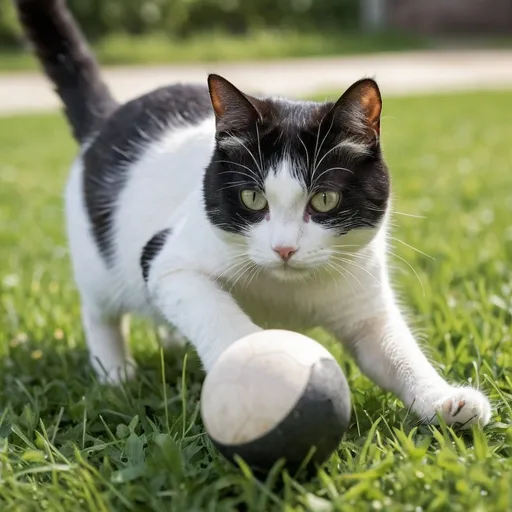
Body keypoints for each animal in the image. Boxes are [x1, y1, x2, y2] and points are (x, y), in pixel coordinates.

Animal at [17, 0, 492, 428]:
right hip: (98, 261)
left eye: (324, 201)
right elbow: (215, 311)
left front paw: (444, 400)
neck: (287, 290)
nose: (284, 249)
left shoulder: (364, 299)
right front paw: (258, 367)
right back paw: (114, 372)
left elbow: (394, 350)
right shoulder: (165, 261)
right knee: (100, 312)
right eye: (252, 199)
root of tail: (108, 117)